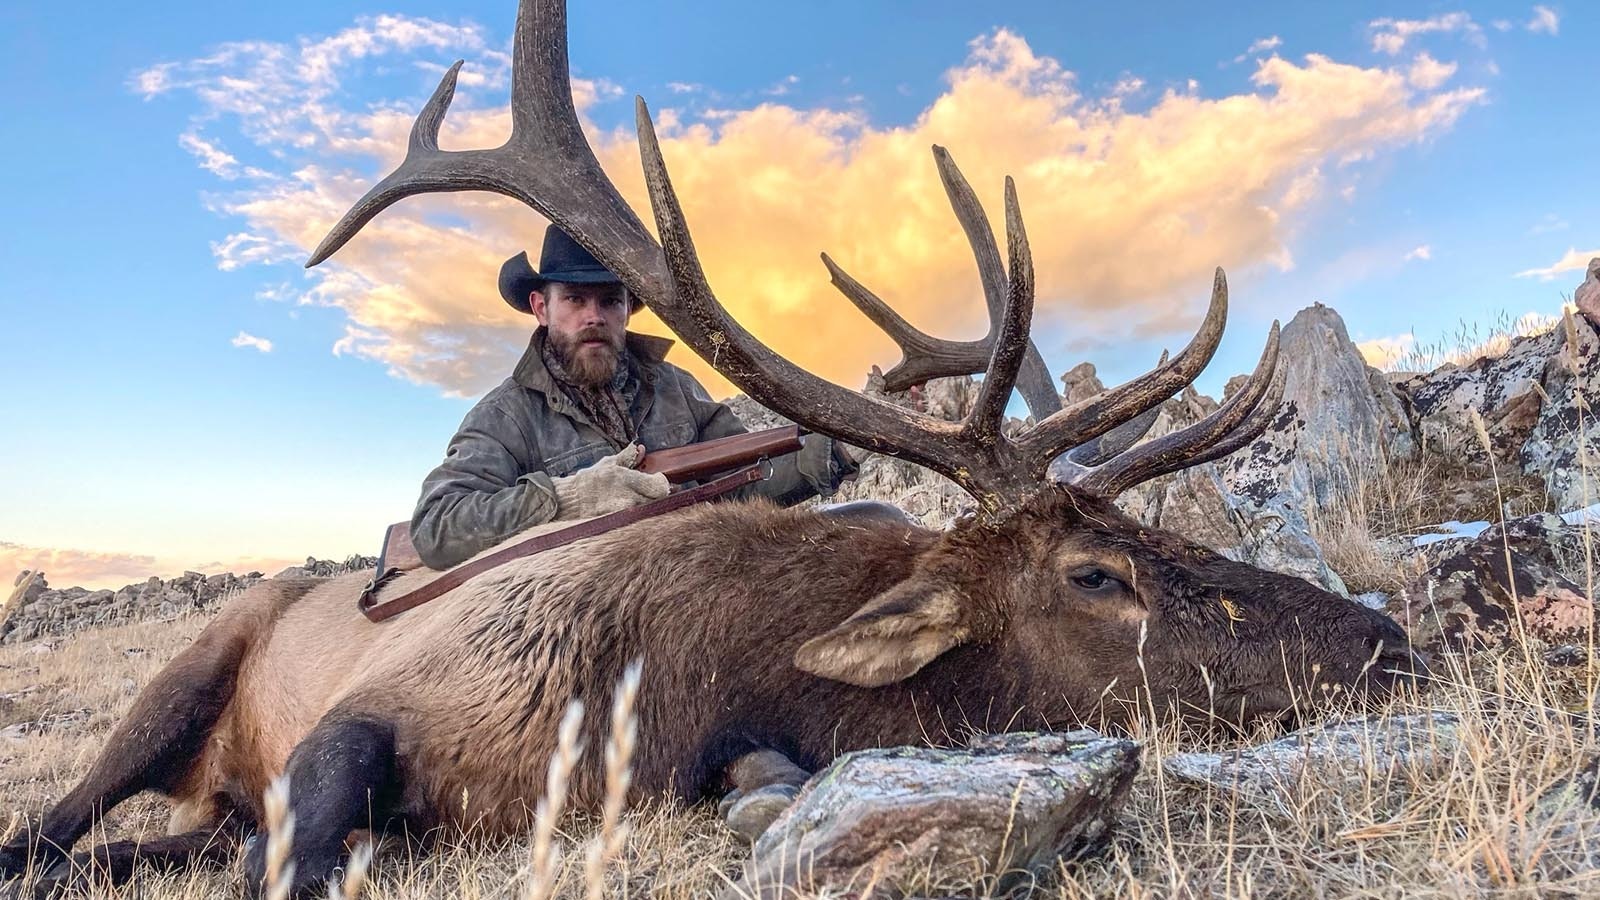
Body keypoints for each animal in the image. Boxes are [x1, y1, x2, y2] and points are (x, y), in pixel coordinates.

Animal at [0, 1, 1422, 897]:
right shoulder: (383, 706)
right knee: (58, 823)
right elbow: (304, 835)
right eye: (1094, 574)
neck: (688, 664)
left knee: (135, 845)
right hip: (186, 671)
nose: (1384, 640)